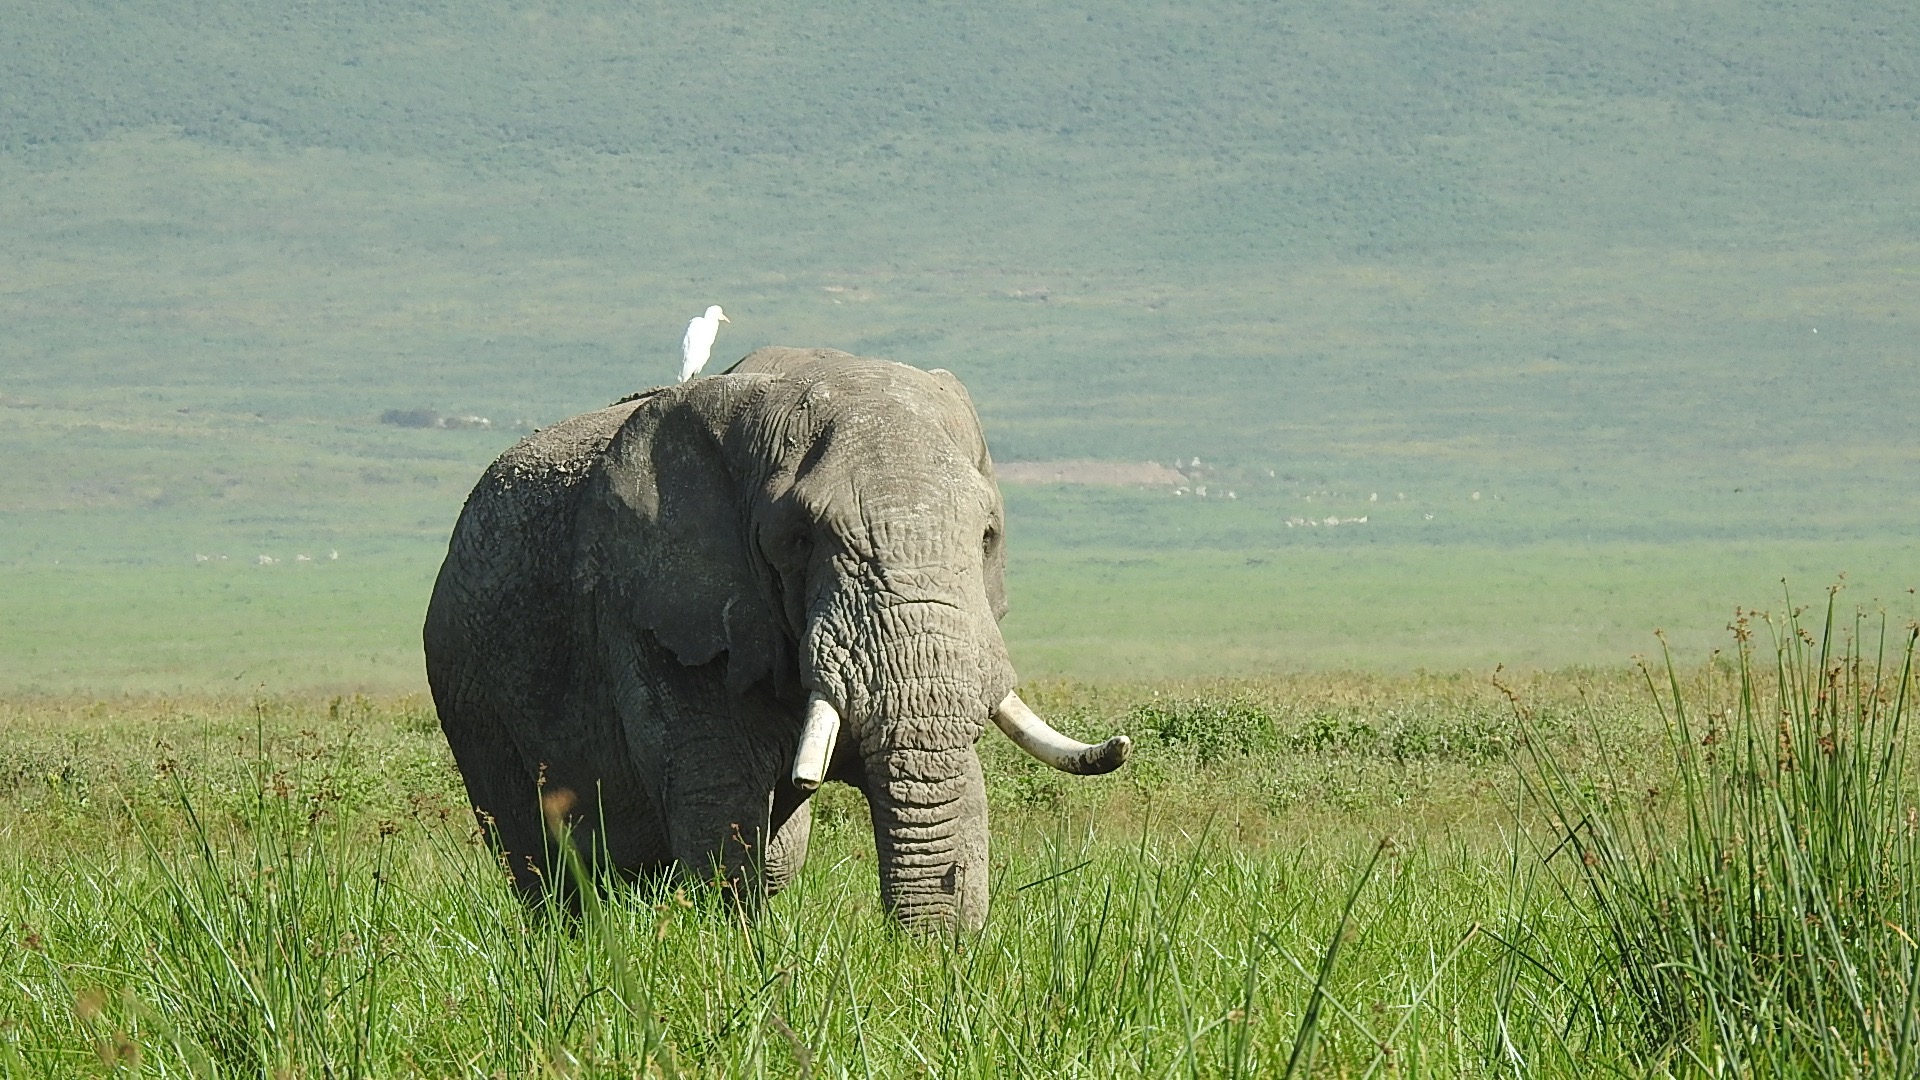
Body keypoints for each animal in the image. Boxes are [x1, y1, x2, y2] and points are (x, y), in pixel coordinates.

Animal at [423, 346, 1129, 932]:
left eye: (987, 536)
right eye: (798, 539)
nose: (918, 958)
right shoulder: (653, 606)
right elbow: (724, 797)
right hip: (468, 689)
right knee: (541, 858)